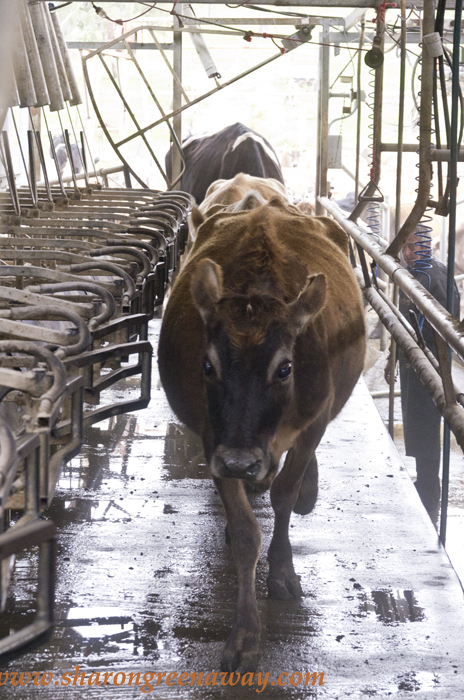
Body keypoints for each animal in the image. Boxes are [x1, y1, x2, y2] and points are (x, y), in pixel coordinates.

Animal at [158, 177, 366, 672]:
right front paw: (245, 633)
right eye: (208, 366)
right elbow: (246, 531)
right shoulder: (214, 439)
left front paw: (284, 571)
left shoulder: (314, 422)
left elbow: (285, 493)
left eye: (285, 368)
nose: (241, 461)